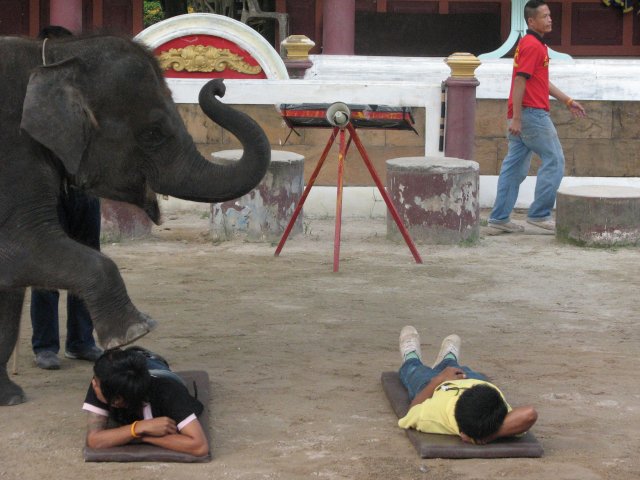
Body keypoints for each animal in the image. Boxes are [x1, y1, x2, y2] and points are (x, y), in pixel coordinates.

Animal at [0, 33, 270, 404]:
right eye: (153, 133)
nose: (219, 85)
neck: (52, 56)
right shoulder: (12, 159)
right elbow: (23, 249)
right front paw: (136, 331)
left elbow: (10, 287)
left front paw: (10, 397)